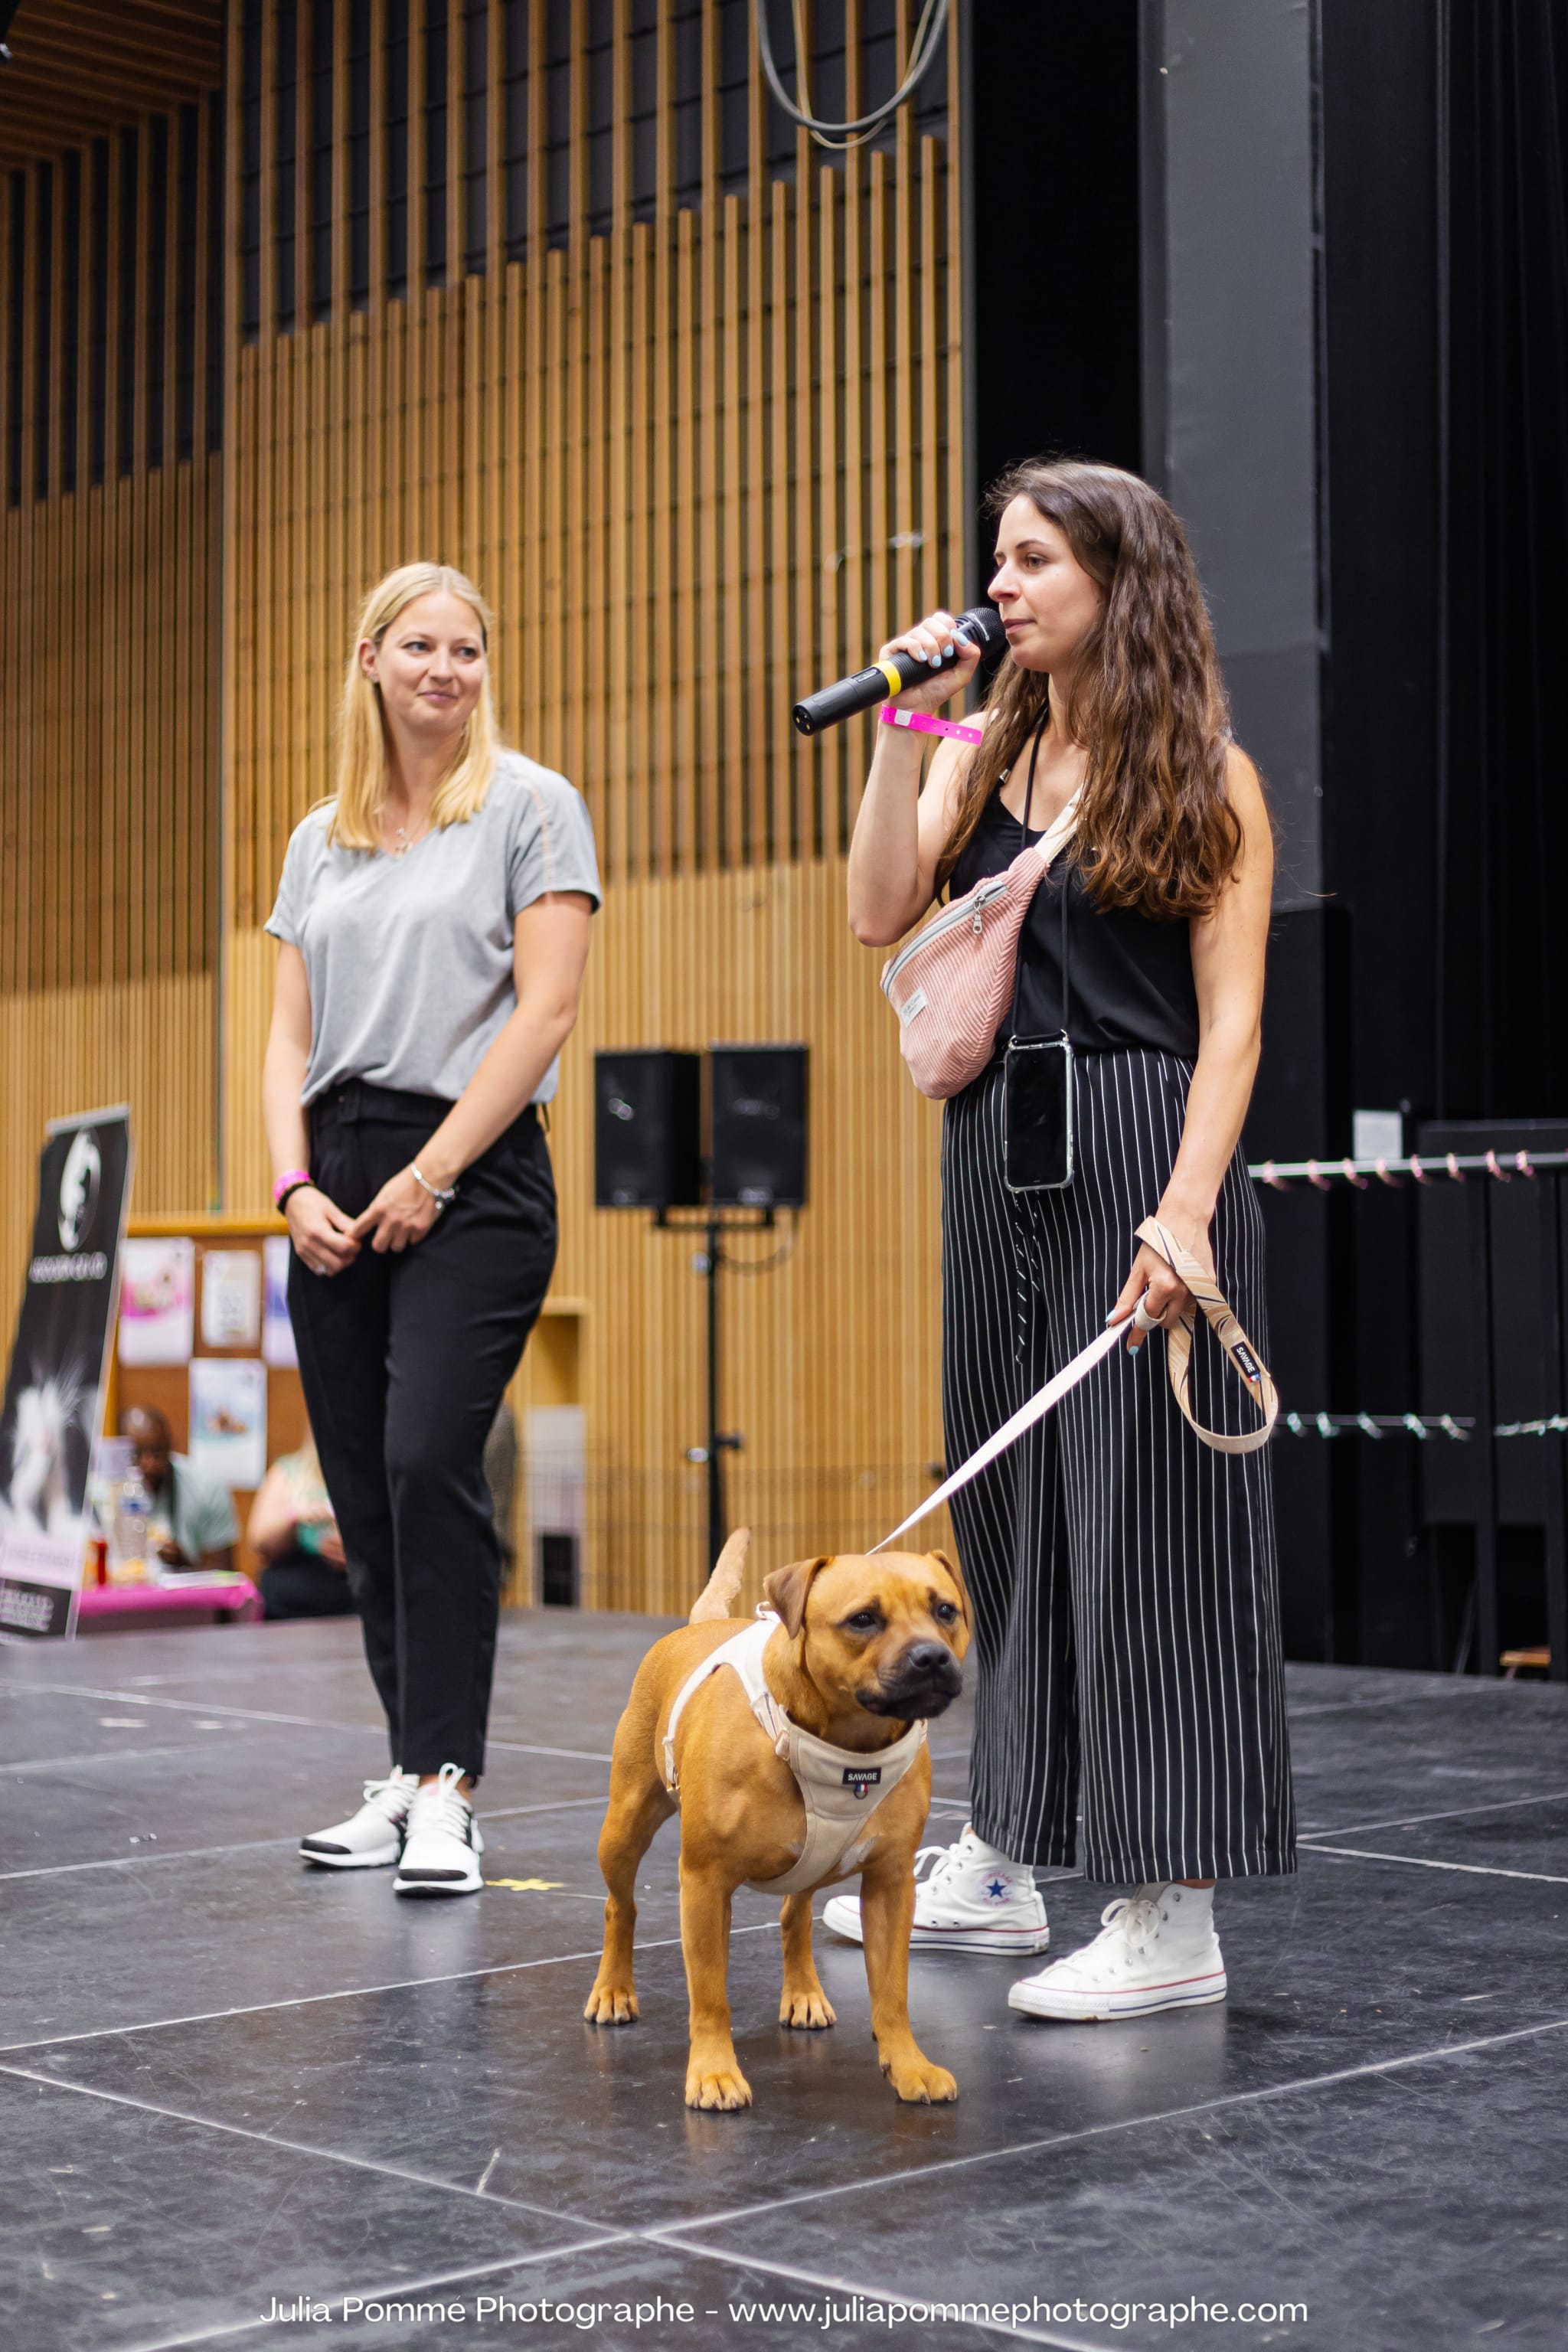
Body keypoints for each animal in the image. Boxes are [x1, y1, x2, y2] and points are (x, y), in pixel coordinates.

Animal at [585, 1524, 969, 2116]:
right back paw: (613, 1989)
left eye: (945, 1610)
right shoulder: (704, 1882)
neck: (845, 1740)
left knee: (795, 1916)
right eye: (863, 1619)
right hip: (625, 1828)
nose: (931, 1657)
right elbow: (710, 1996)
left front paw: (907, 2064)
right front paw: (714, 2073)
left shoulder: (890, 1884)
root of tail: (697, 1625)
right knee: (619, 1907)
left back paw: (804, 1992)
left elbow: (892, 1990)